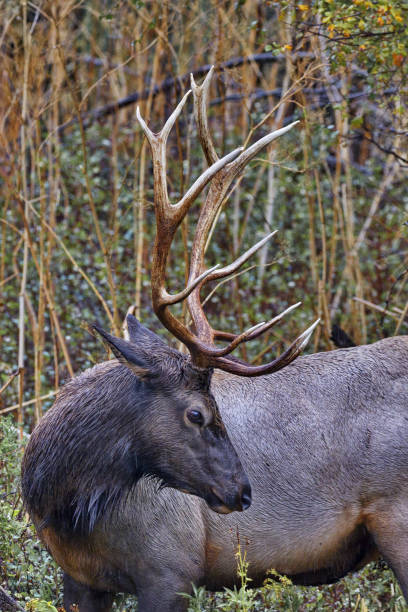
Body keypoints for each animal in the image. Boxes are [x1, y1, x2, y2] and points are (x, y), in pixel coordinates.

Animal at [21, 69, 408, 608]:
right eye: (198, 413)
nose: (243, 492)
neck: (64, 505)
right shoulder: (78, 580)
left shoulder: (170, 570)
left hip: (399, 517)